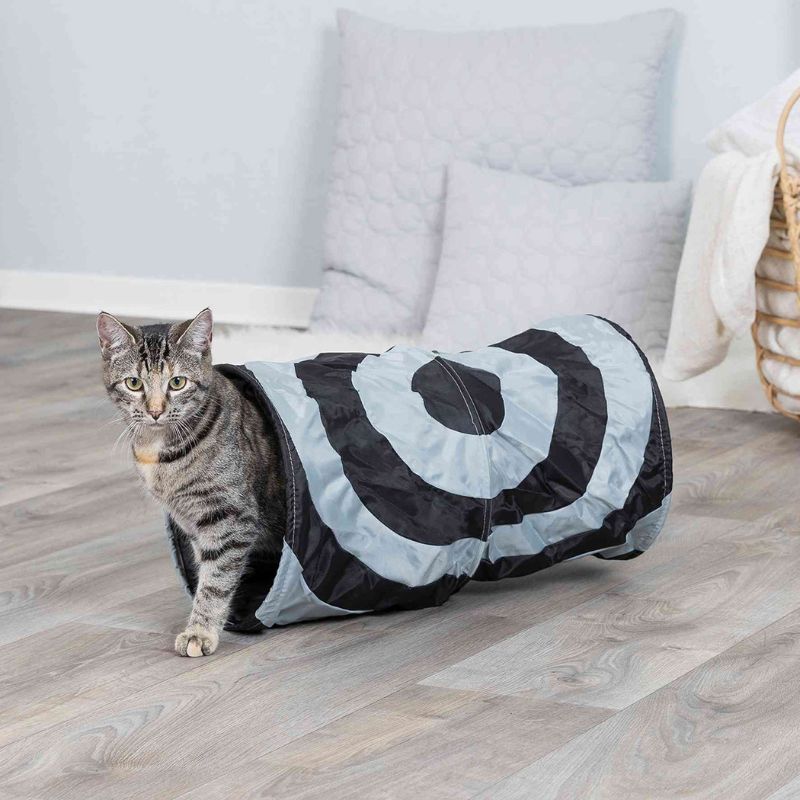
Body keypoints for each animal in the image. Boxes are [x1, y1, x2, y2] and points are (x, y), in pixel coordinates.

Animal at [97, 308, 285, 657]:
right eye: (133, 383)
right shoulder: (193, 523)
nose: (155, 411)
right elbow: (203, 573)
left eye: (177, 382)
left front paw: (200, 631)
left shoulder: (231, 519)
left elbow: (215, 581)